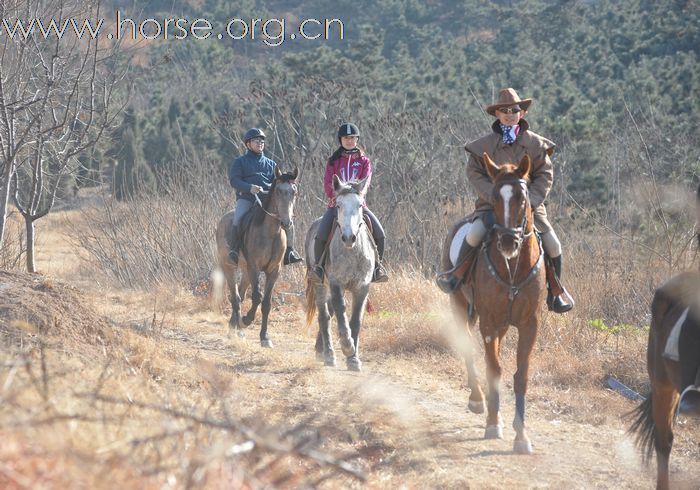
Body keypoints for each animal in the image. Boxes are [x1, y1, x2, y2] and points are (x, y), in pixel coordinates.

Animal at [216, 168, 298, 348]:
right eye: (278, 191)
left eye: (294, 192)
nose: (286, 222)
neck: (271, 232)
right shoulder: (254, 267)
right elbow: (257, 297)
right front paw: (246, 320)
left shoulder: (274, 271)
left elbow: (266, 303)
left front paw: (265, 337)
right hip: (229, 266)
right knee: (235, 297)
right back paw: (235, 328)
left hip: (246, 271)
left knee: (240, 294)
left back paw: (237, 328)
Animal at [304, 176, 374, 372]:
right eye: (338, 205)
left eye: (360, 205)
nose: (349, 237)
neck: (351, 252)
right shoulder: (336, 283)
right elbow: (341, 311)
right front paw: (347, 346)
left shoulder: (362, 287)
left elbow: (356, 320)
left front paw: (354, 359)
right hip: (320, 284)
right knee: (324, 316)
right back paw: (328, 354)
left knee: (329, 312)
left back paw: (320, 349)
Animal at [442, 154, 548, 456]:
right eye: (493, 197)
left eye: (523, 197)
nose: (508, 242)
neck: (513, 268)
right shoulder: (489, 323)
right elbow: (494, 369)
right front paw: (492, 423)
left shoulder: (529, 325)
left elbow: (520, 375)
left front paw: (521, 435)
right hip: (459, 305)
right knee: (468, 346)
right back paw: (479, 400)